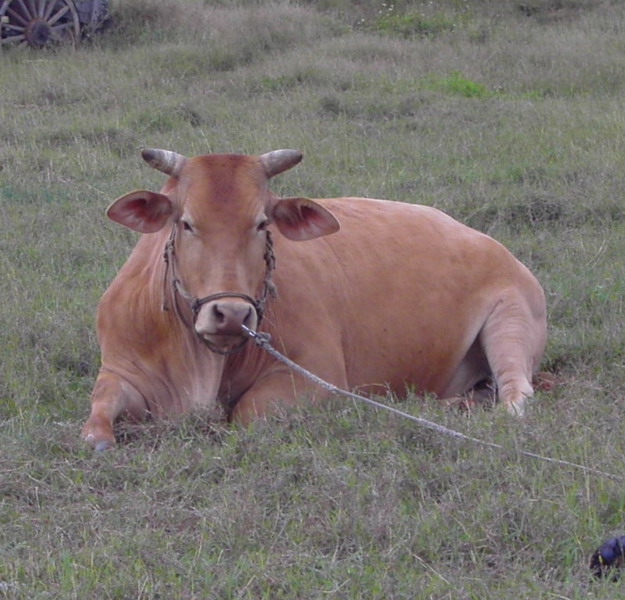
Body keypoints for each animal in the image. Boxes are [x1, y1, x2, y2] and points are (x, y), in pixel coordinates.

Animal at [80, 149, 544, 450]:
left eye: (262, 223)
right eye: (186, 222)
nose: (230, 314)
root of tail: (489, 242)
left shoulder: (315, 377)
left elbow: (245, 416)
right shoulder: (119, 369)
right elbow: (99, 410)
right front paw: (99, 436)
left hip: (511, 320)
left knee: (515, 397)